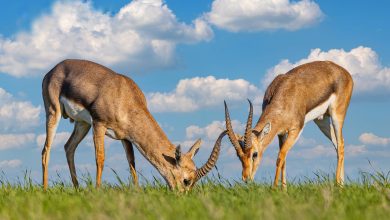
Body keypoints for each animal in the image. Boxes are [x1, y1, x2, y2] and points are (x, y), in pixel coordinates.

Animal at [42, 58, 225, 191]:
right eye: (186, 180)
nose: (182, 196)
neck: (124, 96)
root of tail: (53, 70)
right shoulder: (99, 124)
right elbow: (100, 158)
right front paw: (98, 190)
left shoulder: (126, 137)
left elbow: (132, 162)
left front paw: (136, 191)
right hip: (54, 113)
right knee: (46, 150)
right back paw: (45, 189)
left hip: (82, 124)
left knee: (68, 147)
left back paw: (78, 189)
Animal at [222, 61, 354, 188]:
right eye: (239, 156)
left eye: (255, 154)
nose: (246, 179)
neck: (285, 97)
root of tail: (344, 72)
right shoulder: (280, 133)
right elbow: (284, 159)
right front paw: (284, 189)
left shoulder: (295, 130)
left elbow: (280, 157)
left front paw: (275, 188)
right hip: (321, 120)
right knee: (338, 144)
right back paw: (342, 185)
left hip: (337, 115)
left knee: (340, 145)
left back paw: (337, 184)